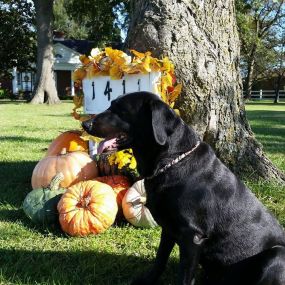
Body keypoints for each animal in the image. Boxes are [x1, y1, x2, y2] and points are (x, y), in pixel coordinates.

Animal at [81, 92, 284, 282]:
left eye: (119, 110)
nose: (85, 124)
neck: (172, 161)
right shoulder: (168, 228)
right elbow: (160, 259)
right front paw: (147, 280)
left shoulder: (192, 236)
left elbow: (185, 275)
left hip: (276, 255)